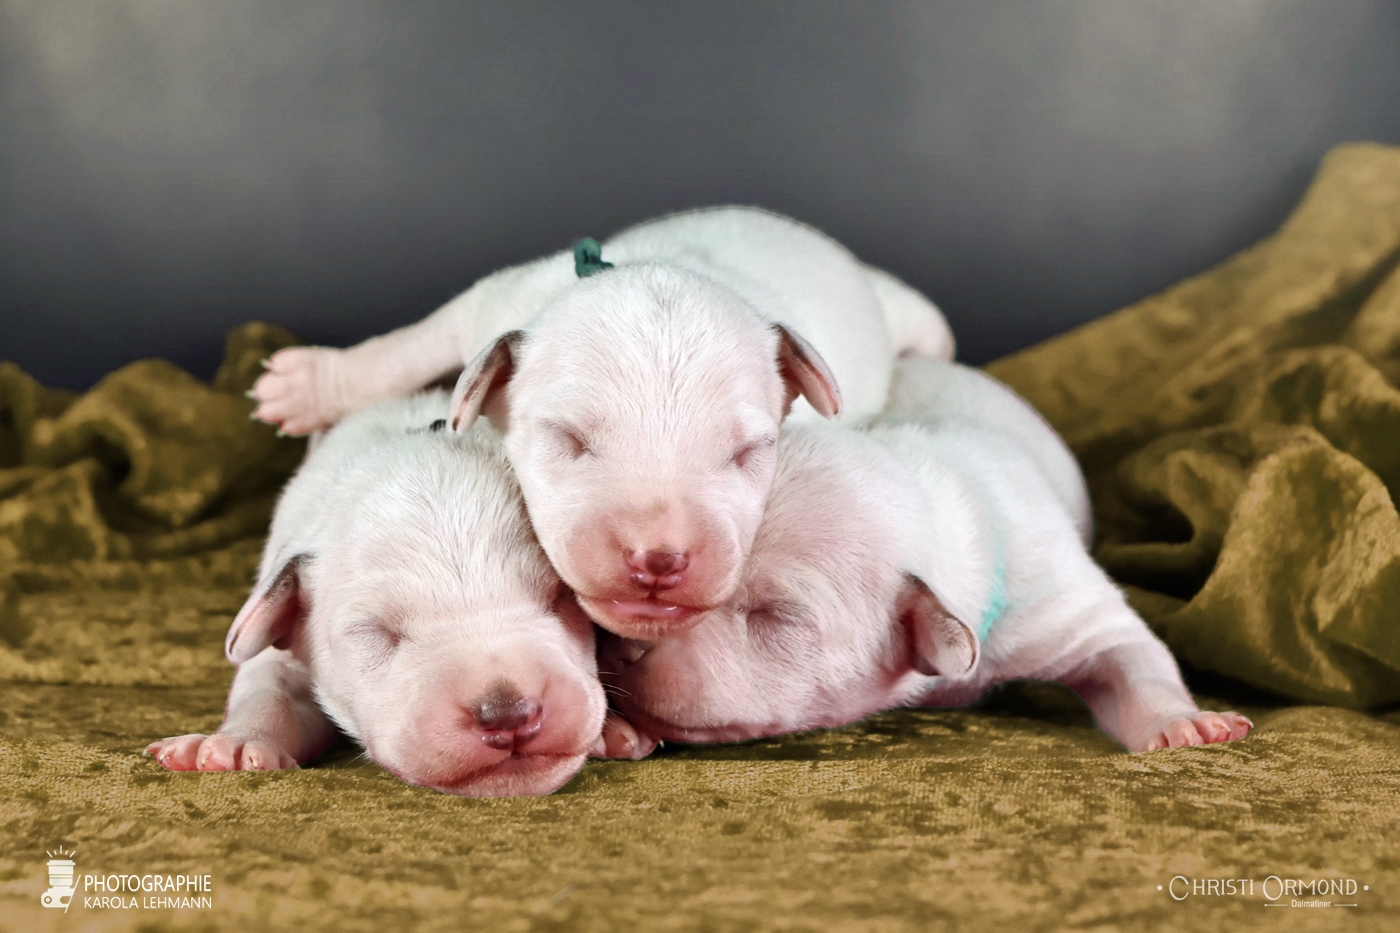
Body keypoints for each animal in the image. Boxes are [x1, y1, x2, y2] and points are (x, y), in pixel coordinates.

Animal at [248, 206, 953, 638]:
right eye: (568, 439)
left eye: (749, 453)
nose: (659, 559)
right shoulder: (487, 303)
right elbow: (406, 348)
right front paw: (307, 386)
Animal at [598, 360, 1252, 756]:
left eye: (777, 616)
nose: (622, 642)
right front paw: (613, 728)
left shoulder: (1059, 598)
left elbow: (1132, 652)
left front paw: (1184, 722)